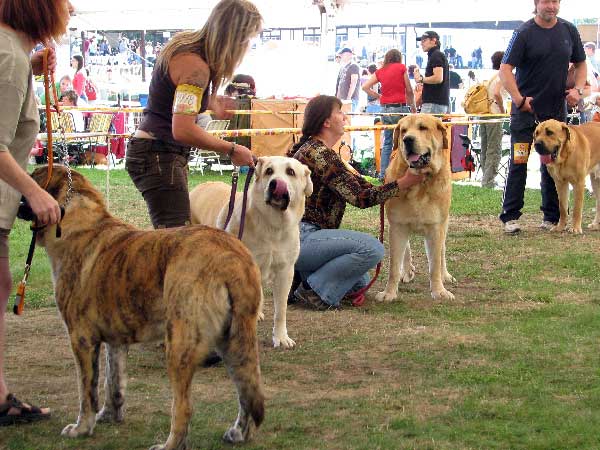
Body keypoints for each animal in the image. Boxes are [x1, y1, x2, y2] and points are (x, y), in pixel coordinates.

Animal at [29, 166, 264, 450]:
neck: (77, 220)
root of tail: (232, 256)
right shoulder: (115, 339)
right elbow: (113, 382)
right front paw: (109, 415)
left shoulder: (81, 339)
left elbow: (87, 390)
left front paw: (82, 427)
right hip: (235, 340)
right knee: (247, 390)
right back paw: (239, 433)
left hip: (180, 344)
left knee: (184, 407)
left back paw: (169, 445)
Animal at [191, 156, 314, 350]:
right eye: (269, 171)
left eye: (290, 172)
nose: (275, 184)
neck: (272, 226)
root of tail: (200, 186)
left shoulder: (285, 271)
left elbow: (281, 310)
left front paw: (280, 337)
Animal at [376, 112, 454, 302]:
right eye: (404, 130)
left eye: (423, 128)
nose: (407, 139)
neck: (420, 183)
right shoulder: (397, 226)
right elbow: (394, 265)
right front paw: (389, 293)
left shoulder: (436, 228)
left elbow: (435, 264)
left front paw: (439, 291)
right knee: (406, 250)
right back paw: (407, 271)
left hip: (444, 223)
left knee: (442, 251)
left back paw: (445, 275)